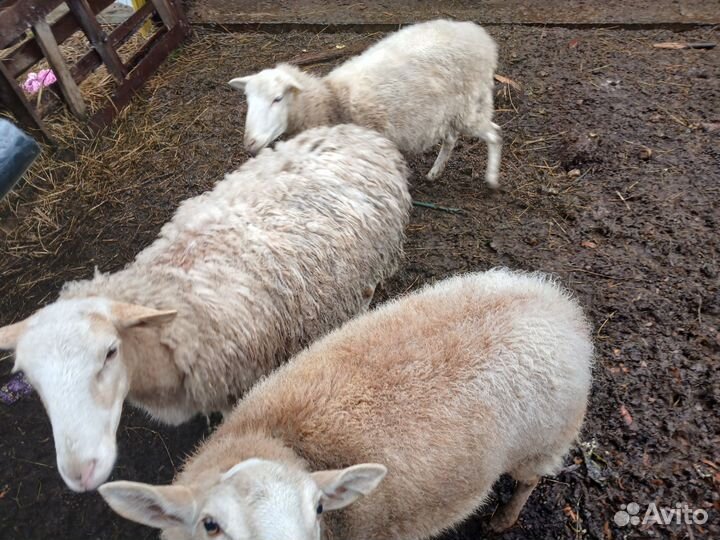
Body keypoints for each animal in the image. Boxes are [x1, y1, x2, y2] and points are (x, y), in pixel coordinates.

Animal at [0, 124, 411, 493]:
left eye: (110, 353)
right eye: (30, 379)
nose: (80, 472)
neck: (173, 303)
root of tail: (362, 134)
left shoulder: (238, 381)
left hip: (371, 261)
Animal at [99, 268, 593, 540]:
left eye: (319, 510)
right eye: (210, 524)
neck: (271, 435)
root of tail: (558, 303)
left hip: (543, 440)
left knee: (530, 481)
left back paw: (504, 519)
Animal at [229, 19, 502, 186]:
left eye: (277, 98)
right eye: (248, 100)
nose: (249, 143)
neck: (331, 100)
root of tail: (477, 34)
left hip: (471, 106)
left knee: (495, 134)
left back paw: (491, 179)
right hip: (449, 111)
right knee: (451, 138)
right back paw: (435, 172)